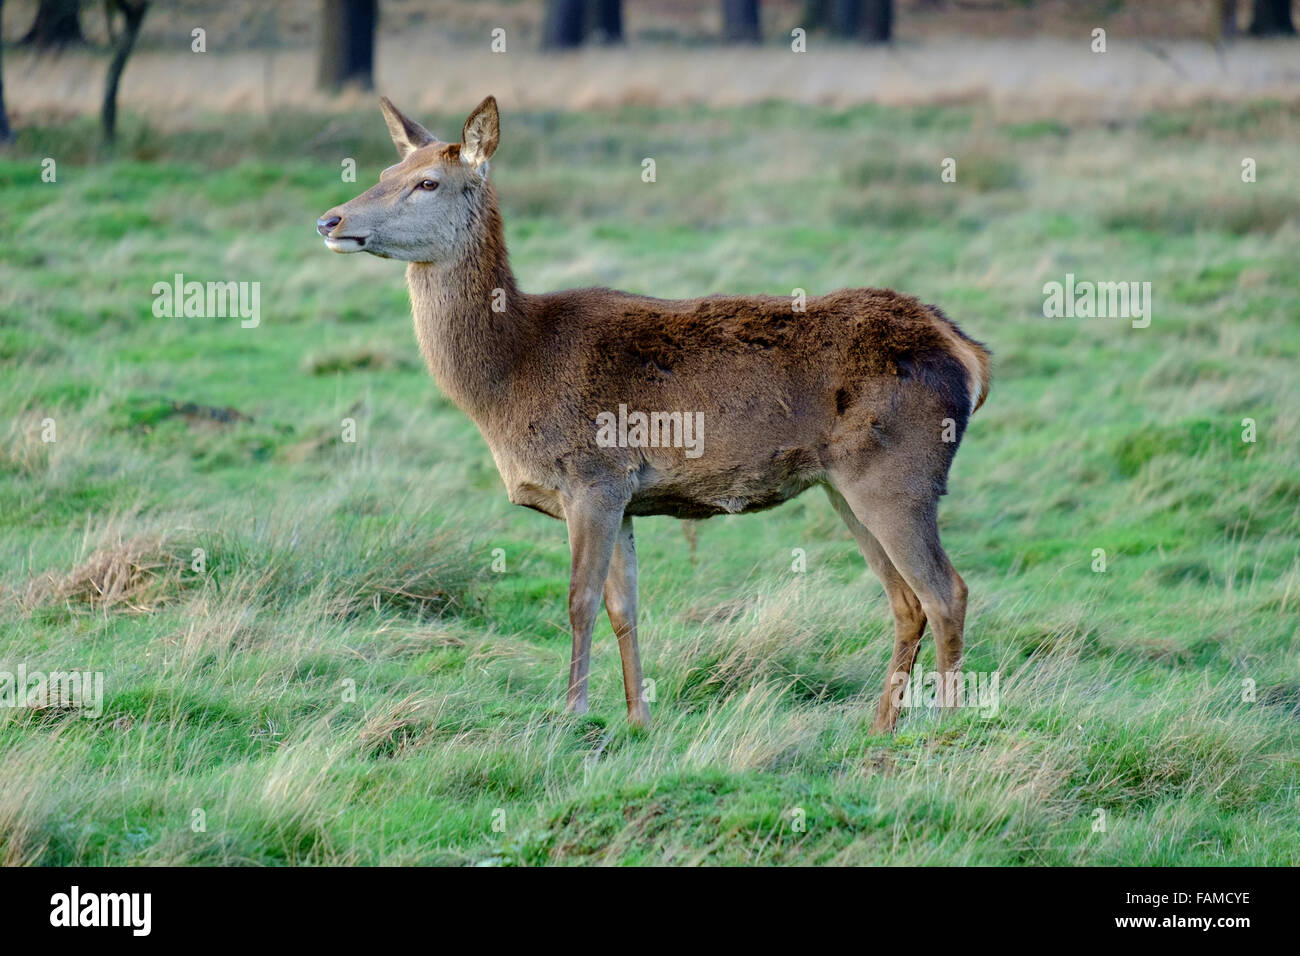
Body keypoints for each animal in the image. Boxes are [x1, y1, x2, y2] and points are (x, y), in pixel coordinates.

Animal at [316, 96, 991, 733]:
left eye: (428, 182)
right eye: (385, 170)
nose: (330, 219)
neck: (509, 380)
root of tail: (970, 355)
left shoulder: (593, 475)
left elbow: (579, 600)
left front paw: (574, 712)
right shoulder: (625, 496)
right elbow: (625, 606)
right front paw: (639, 717)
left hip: (898, 473)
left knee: (945, 591)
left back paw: (947, 726)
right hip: (841, 484)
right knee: (906, 601)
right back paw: (880, 728)